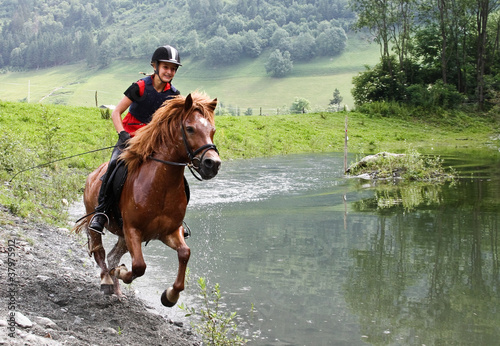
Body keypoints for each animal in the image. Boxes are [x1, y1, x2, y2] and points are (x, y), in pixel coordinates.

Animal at [73, 91, 221, 306]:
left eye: (213, 130)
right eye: (190, 128)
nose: (213, 164)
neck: (160, 186)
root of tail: (92, 175)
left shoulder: (169, 231)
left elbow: (185, 253)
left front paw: (170, 295)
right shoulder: (133, 230)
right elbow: (139, 266)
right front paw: (120, 272)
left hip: (123, 236)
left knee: (112, 255)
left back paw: (118, 291)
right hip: (95, 221)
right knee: (100, 251)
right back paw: (107, 281)